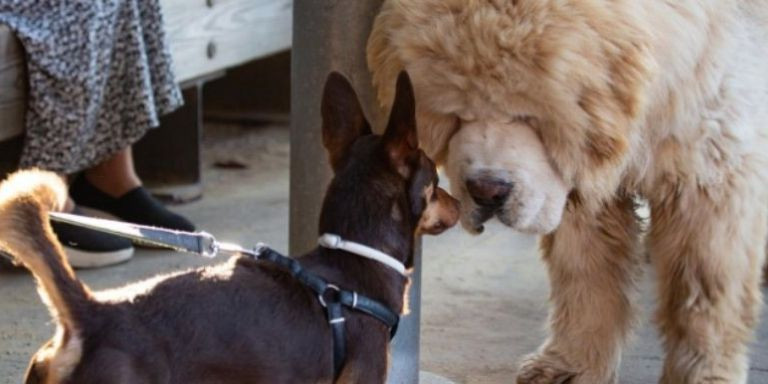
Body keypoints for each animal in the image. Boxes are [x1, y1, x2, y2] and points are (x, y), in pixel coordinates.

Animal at [366, 1, 768, 382]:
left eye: (529, 116)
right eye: (455, 116)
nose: (486, 192)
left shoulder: (709, 168)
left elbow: (703, 296)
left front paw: (701, 374)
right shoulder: (582, 185)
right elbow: (586, 272)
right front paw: (572, 365)